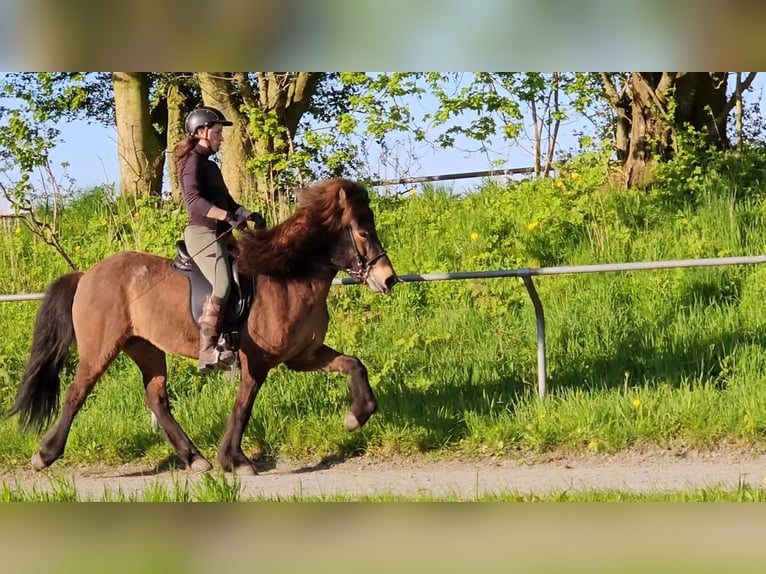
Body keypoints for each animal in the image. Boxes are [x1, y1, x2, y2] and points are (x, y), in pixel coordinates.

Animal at [6, 179, 400, 476]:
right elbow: (243, 406)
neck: (288, 277)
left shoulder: (303, 355)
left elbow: (355, 365)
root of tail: (86, 275)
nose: (389, 279)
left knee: (156, 398)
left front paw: (356, 417)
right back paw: (44, 455)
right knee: (77, 393)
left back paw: (195, 458)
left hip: (146, 348)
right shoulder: (258, 361)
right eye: (364, 232)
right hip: (100, 348)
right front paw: (236, 461)